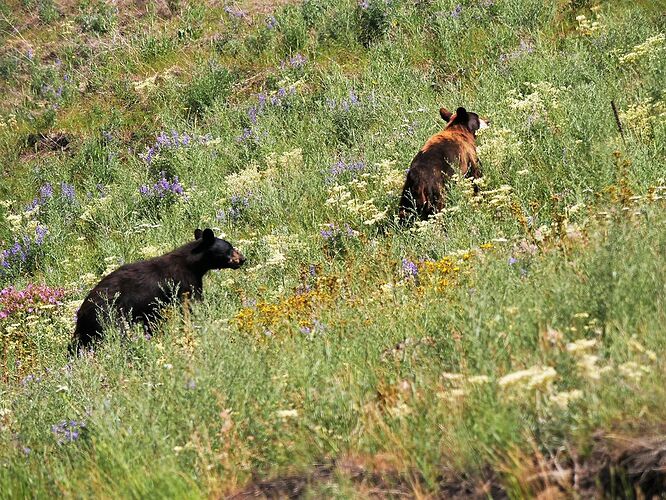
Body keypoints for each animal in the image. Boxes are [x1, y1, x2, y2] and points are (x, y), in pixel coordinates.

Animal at [69, 229, 244, 354]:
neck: (193, 264)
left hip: (88, 329)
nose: (243, 259)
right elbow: (192, 304)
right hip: (109, 315)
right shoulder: (186, 283)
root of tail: (81, 312)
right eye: (230, 248)